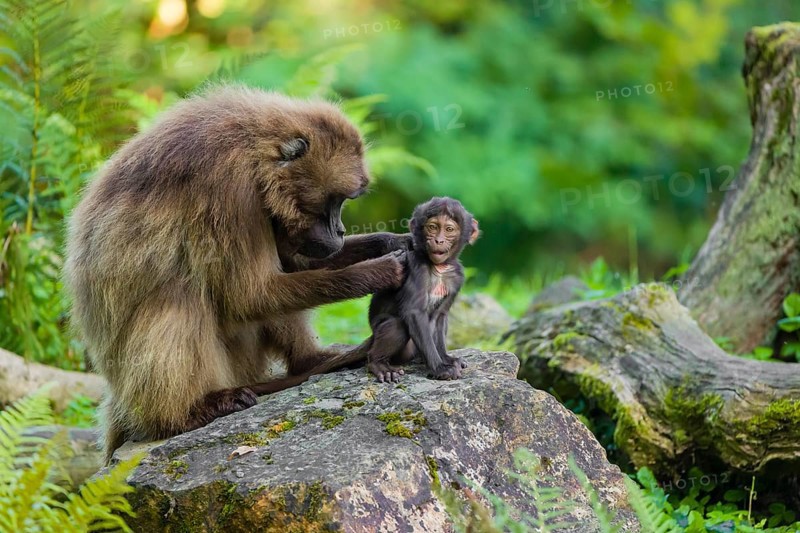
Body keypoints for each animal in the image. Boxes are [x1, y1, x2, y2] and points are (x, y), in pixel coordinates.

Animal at [64, 85, 411, 461]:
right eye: (334, 202)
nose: (341, 231)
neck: (256, 150)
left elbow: (287, 268)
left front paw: (393, 241)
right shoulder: (230, 189)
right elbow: (248, 295)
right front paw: (382, 270)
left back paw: (310, 362)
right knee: (182, 292)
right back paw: (186, 414)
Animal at [365, 197, 479, 383]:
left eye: (449, 229)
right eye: (432, 227)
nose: (439, 240)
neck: (439, 268)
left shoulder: (457, 277)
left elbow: (440, 316)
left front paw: (447, 359)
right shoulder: (417, 266)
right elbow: (414, 313)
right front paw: (440, 368)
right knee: (397, 324)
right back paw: (379, 364)